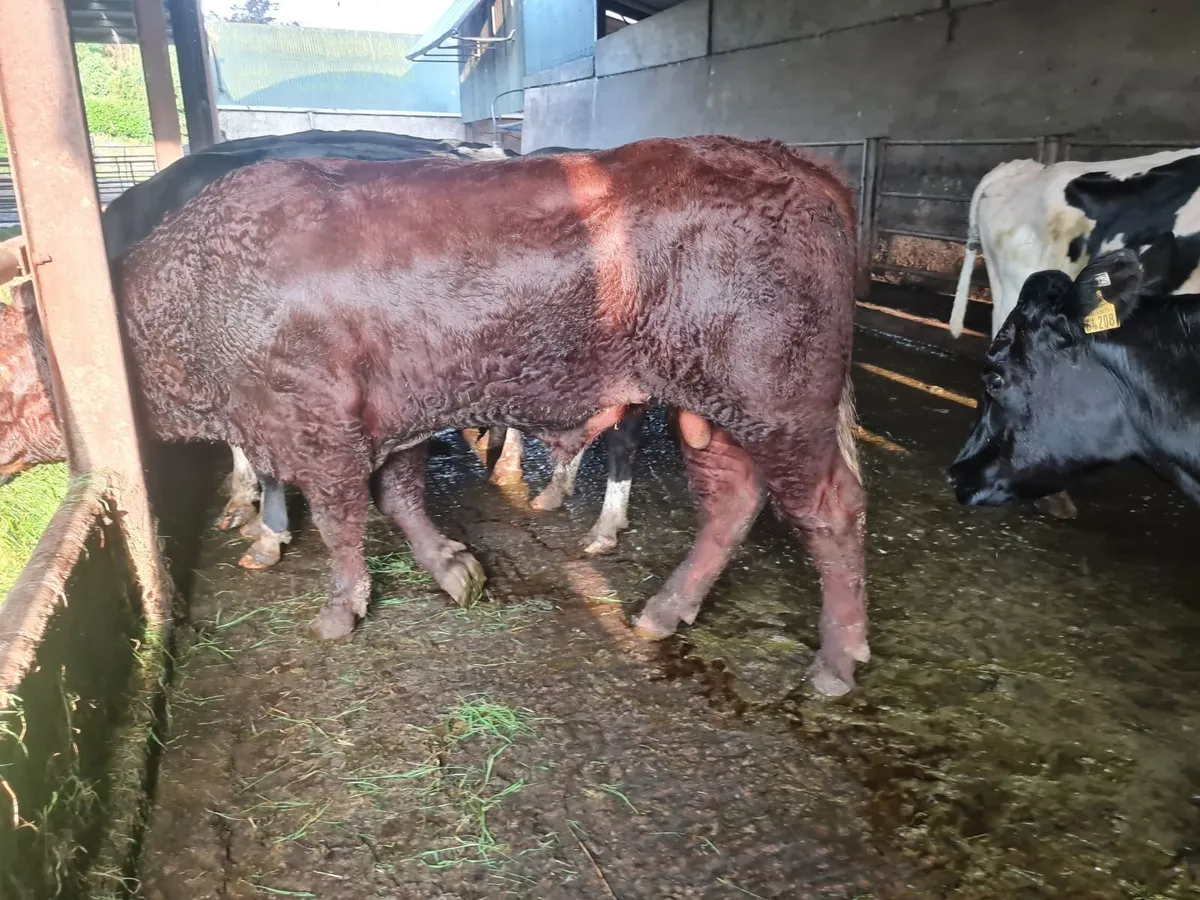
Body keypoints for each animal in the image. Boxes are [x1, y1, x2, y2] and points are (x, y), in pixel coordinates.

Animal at [103, 136, 868, 695]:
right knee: (730, 501)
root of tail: (797, 163)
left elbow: (338, 516)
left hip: (779, 407)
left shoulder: (316, 429)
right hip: (710, 412)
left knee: (833, 509)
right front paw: (453, 568)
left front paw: (335, 604)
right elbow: (397, 496)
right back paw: (663, 611)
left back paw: (836, 661)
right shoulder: (387, 418)